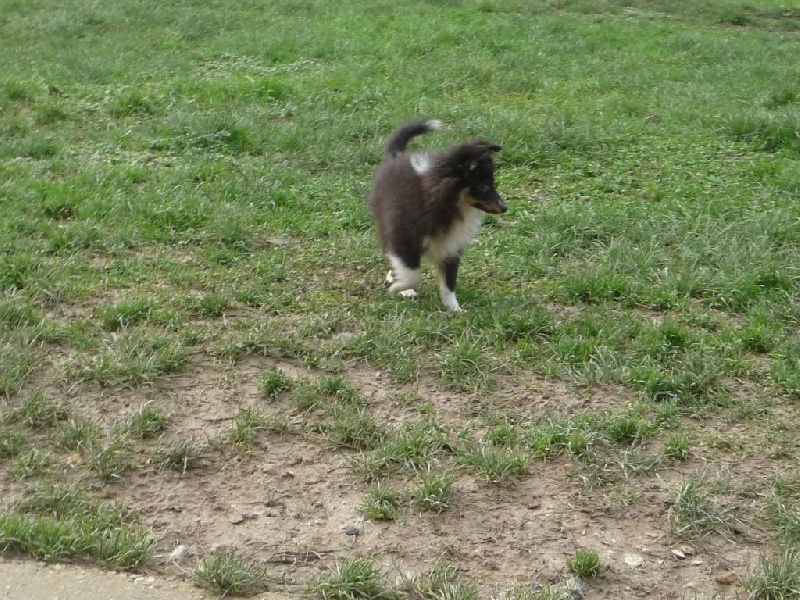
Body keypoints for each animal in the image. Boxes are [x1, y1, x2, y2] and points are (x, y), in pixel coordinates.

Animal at [366, 119, 504, 312]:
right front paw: (399, 288)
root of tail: (395, 156)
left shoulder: (451, 246)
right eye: (483, 186)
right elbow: (413, 274)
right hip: (387, 226)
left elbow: (449, 282)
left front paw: (455, 310)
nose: (504, 207)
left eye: (492, 184)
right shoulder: (403, 238)